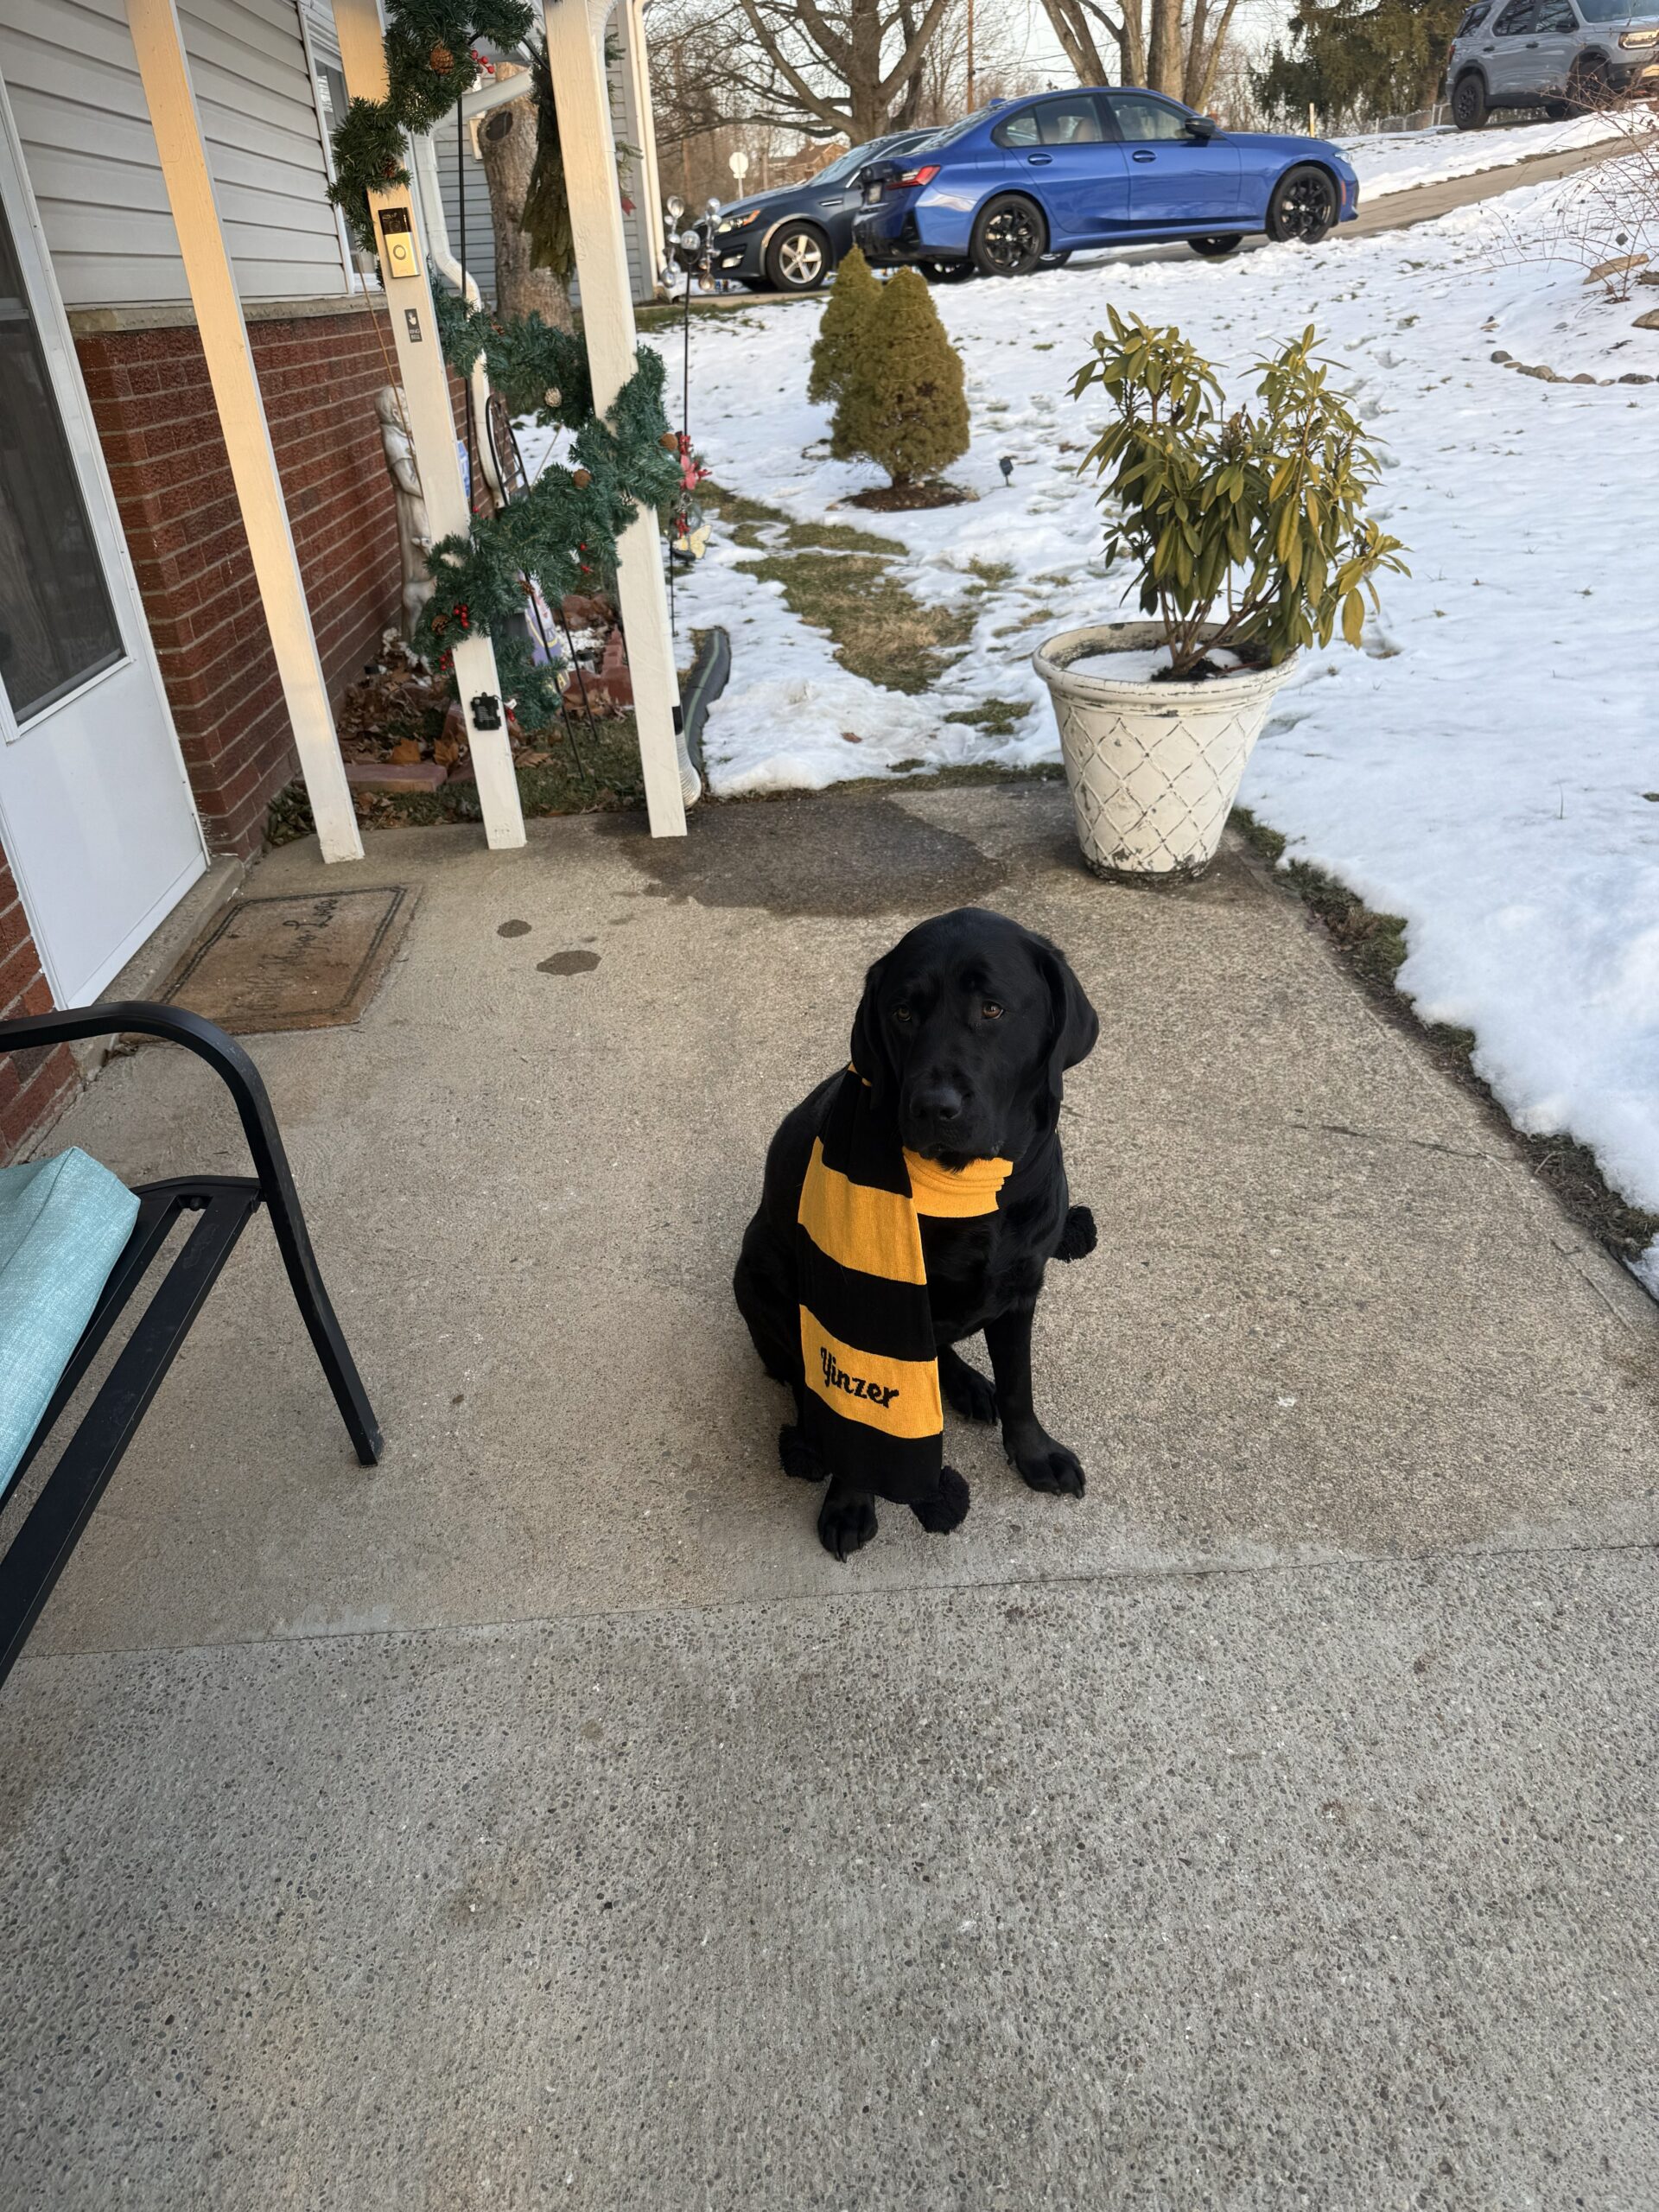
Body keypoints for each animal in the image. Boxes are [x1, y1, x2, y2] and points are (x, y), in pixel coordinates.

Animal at [733, 907, 1099, 1559]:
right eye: (903, 1013)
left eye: (993, 1009)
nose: (933, 1106)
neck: (967, 1191)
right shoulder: (857, 1306)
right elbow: (852, 1412)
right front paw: (850, 1503)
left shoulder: (1021, 1289)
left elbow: (1020, 1386)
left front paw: (1035, 1455)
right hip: (755, 1274)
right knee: (801, 1380)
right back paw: (807, 1442)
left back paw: (968, 1385)